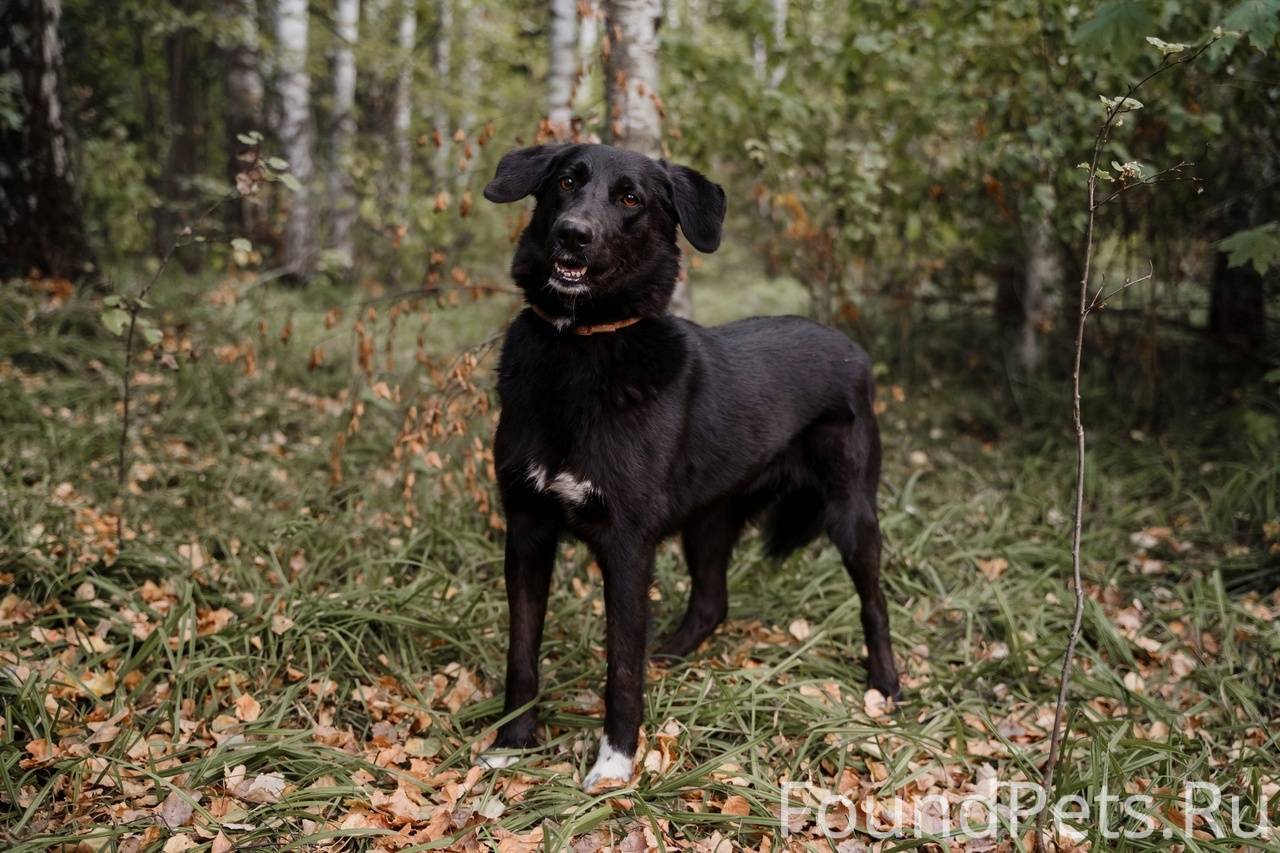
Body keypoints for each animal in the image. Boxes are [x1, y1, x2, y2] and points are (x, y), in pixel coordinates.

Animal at [473, 142, 901, 788]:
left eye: (630, 199)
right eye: (566, 182)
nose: (573, 234)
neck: (581, 346)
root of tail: (853, 349)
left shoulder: (626, 546)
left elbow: (622, 668)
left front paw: (615, 766)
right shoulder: (525, 530)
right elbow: (521, 654)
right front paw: (513, 744)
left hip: (851, 513)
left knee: (874, 601)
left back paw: (885, 686)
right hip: (708, 520)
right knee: (711, 603)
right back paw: (669, 654)